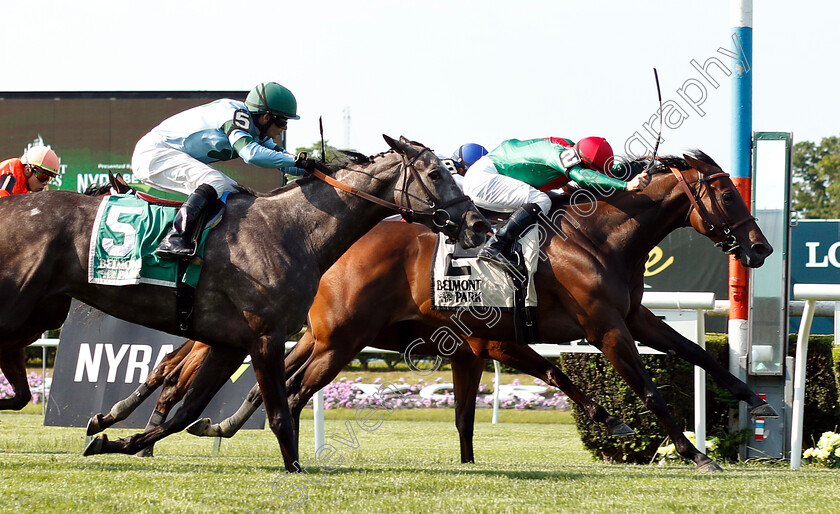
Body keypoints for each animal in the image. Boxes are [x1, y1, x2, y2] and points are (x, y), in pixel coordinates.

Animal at [0, 134, 486, 470]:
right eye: (437, 174)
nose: (477, 223)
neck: (292, 229)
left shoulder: (229, 343)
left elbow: (184, 412)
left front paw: (111, 440)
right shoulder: (265, 337)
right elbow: (278, 411)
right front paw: (294, 468)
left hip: (37, 312)